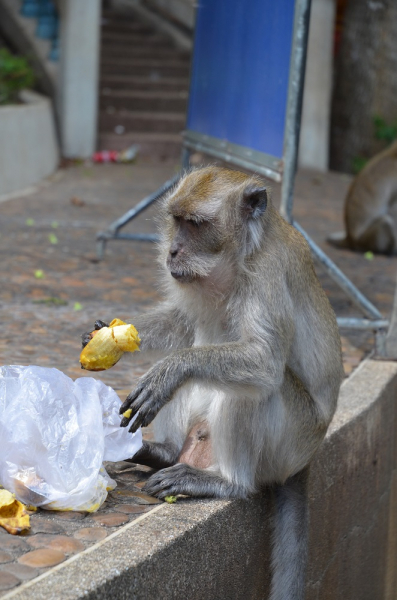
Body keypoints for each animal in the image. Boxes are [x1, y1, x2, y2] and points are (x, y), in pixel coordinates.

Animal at [84, 165, 344, 600]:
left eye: (196, 224)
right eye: (176, 221)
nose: (172, 251)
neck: (237, 260)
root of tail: (304, 461)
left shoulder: (267, 273)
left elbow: (263, 362)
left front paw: (167, 371)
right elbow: (183, 325)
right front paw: (114, 335)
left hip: (290, 443)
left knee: (260, 390)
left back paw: (226, 482)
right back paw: (165, 452)